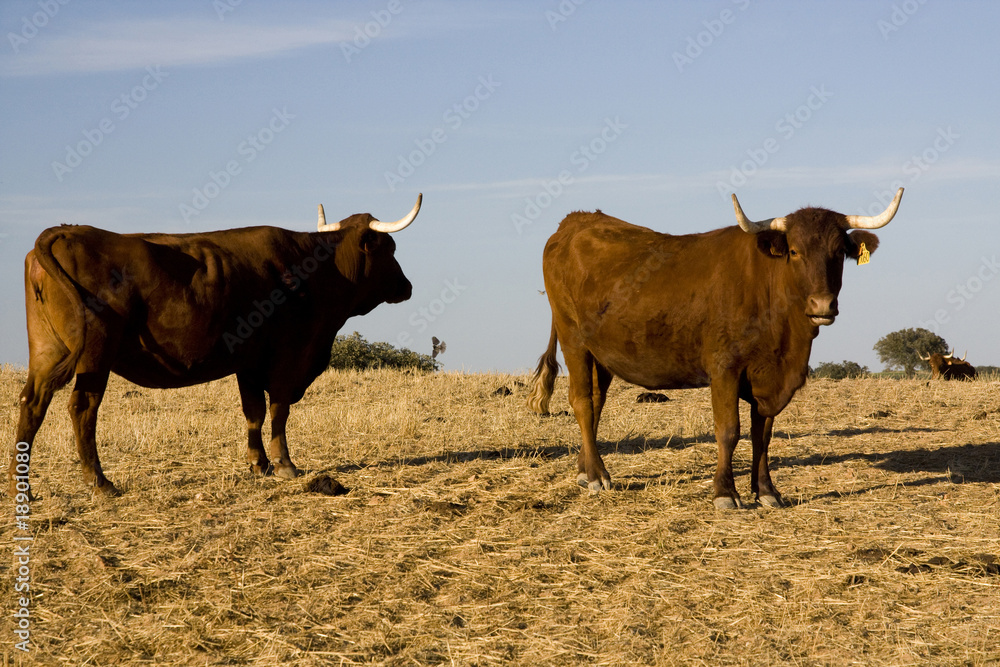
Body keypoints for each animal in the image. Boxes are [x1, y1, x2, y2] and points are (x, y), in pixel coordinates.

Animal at [9, 195, 422, 497]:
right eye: (389, 248)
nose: (407, 286)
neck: (315, 270)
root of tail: (67, 232)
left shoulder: (249, 360)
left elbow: (254, 412)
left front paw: (259, 463)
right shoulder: (287, 355)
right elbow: (279, 410)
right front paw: (284, 464)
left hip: (47, 351)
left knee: (33, 403)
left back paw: (23, 487)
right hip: (95, 354)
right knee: (83, 408)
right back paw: (100, 483)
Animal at [527, 189, 903, 509]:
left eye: (839, 253)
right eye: (795, 251)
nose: (822, 305)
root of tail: (575, 222)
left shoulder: (769, 379)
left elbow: (762, 436)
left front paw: (766, 491)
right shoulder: (725, 368)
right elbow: (729, 431)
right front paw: (725, 493)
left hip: (602, 353)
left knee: (595, 402)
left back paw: (585, 469)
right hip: (573, 338)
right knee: (581, 401)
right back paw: (596, 476)